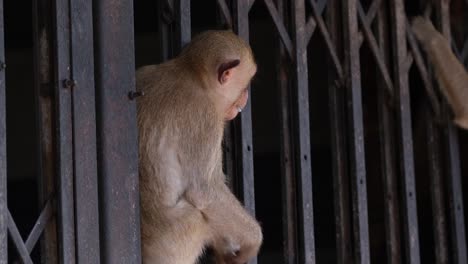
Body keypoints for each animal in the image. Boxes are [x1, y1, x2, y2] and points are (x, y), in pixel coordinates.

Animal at [136, 29, 264, 264]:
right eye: (244, 86)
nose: (245, 97)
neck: (190, 74)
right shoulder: (207, 118)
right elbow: (204, 191)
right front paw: (253, 241)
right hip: (174, 241)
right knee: (196, 216)